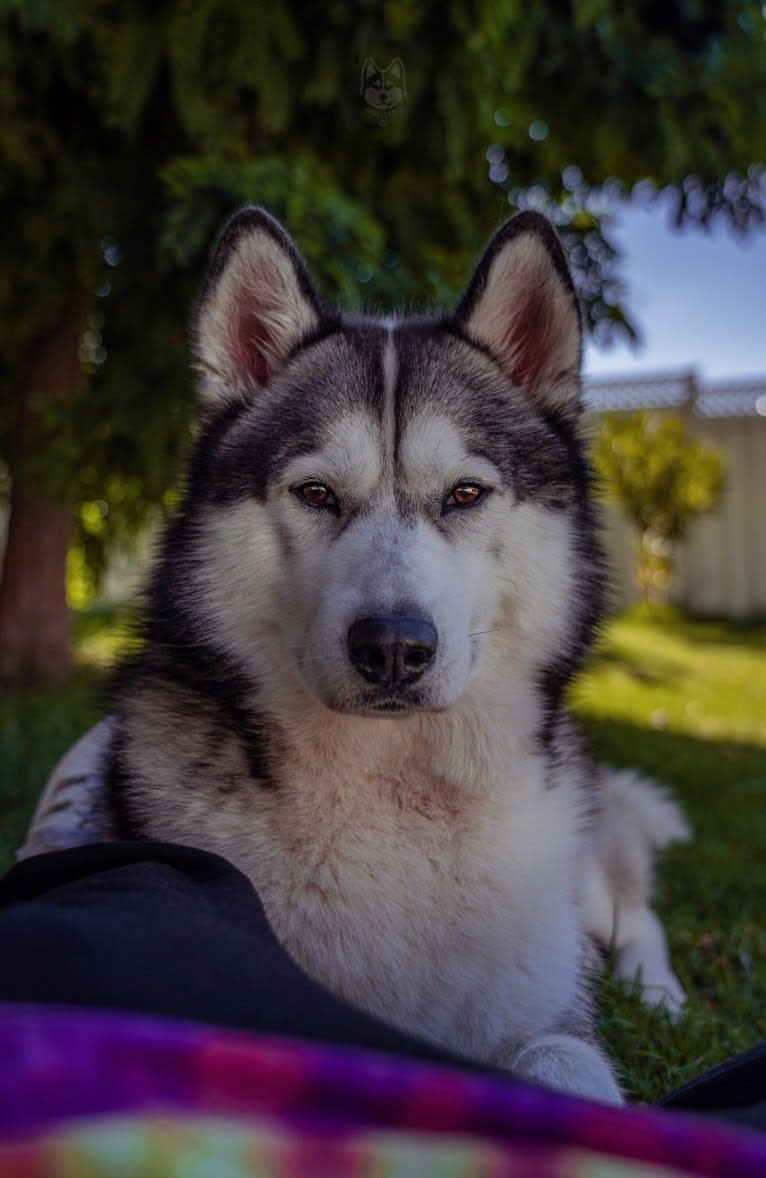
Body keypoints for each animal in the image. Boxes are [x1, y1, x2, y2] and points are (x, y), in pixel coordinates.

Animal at [19, 212, 688, 1102]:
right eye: (316, 494)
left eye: (465, 494)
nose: (394, 647)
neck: (396, 796)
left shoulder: (546, 1014)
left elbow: (571, 1068)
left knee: (631, 906)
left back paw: (660, 992)